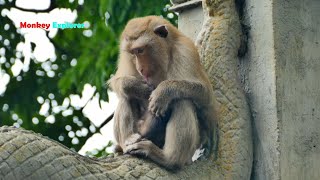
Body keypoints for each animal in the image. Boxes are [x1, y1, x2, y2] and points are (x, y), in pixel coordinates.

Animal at [109, 16, 216, 169]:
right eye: (132, 53)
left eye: (140, 50)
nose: (140, 69)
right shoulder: (126, 57)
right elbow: (118, 81)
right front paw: (136, 87)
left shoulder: (185, 50)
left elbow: (206, 95)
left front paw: (163, 92)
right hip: (140, 128)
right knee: (126, 97)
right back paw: (128, 140)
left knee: (182, 100)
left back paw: (168, 158)